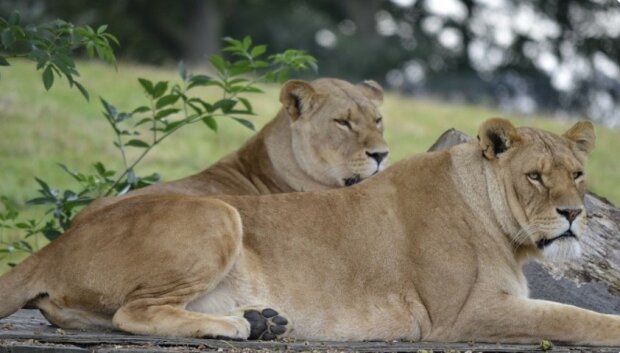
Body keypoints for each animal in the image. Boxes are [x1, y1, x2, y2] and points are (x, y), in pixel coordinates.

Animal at [2, 118, 616, 344]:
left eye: (577, 174)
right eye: (535, 176)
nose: (573, 214)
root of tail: (55, 244)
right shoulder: (462, 315)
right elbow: (571, 316)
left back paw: (262, 320)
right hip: (219, 212)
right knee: (134, 314)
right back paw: (241, 326)